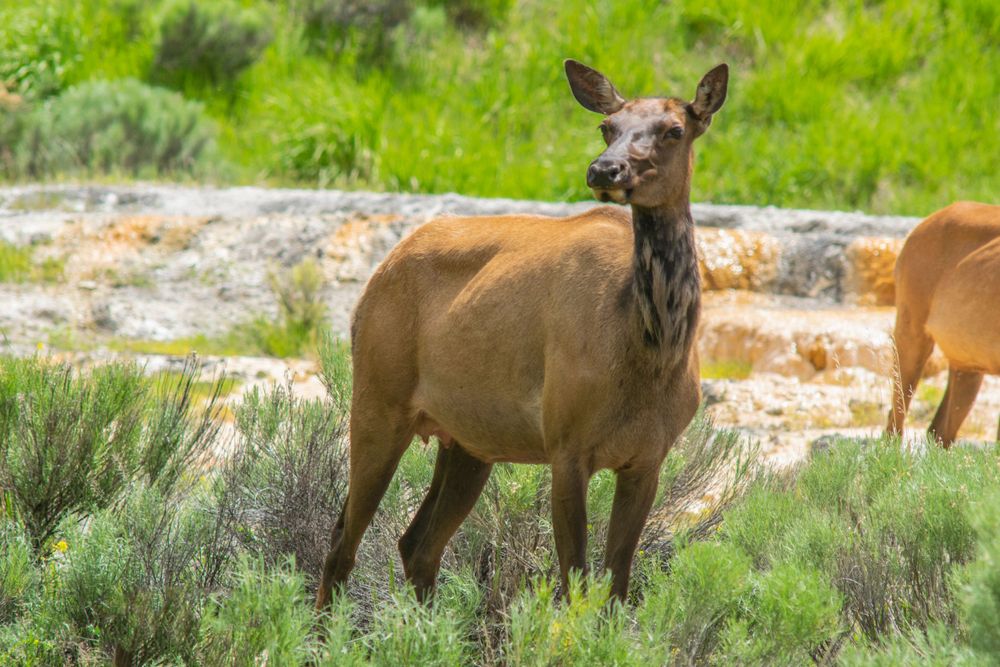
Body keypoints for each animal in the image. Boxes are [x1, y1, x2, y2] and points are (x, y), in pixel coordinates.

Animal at [315, 59, 729, 610]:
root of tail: (372, 283)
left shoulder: (648, 457)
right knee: (343, 541)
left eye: (674, 129)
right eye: (607, 127)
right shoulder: (566, 443)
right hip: (378, 397)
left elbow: (616, 588)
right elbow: (575, 584)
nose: (604, 170)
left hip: (467, 439)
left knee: (416, 543)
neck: (649, 352)